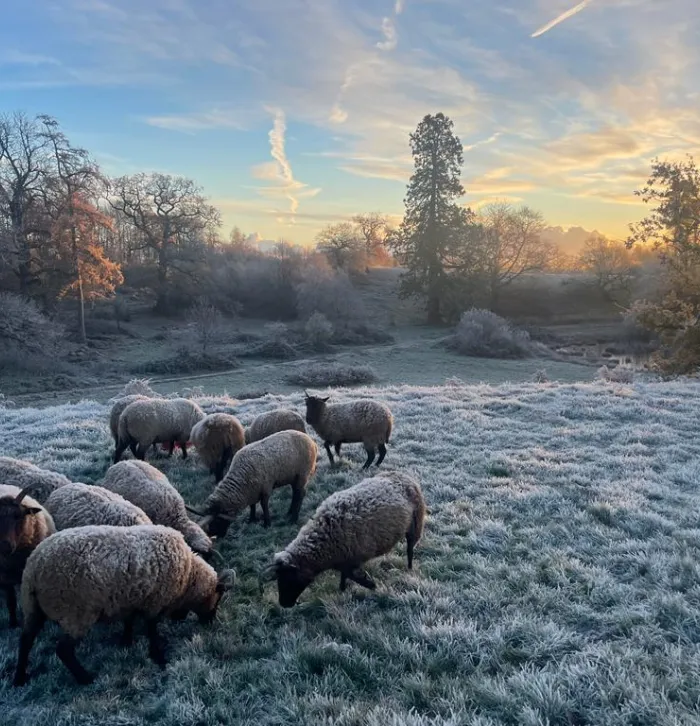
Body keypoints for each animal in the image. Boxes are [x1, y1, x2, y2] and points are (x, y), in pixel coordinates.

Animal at [13, 524, 236, 686]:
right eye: (218, 599)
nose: (210, 623)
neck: (189, 577)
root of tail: (34, 568)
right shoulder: (155, 600)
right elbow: (151, 628)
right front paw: (158, 656)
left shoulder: (130, 599)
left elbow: (129, 621)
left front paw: (126, 641)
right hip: (76, 613)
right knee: (63, 650)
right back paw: (85, 678)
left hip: (32, 607)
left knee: (25, 641)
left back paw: (19, 678)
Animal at [188, 430, 317, 538]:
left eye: (218, 520)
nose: (215, 535)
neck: (242, 478)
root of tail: (312, 442)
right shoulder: (252, 490)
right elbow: (252, 505)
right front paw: (251, 519)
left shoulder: (266, 487)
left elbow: (264, 505)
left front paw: (267, 523)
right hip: (293, 477)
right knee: (295, 493)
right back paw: (289, 512)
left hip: (302, 474)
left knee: (300, 494)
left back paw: (293, 519)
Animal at [259, 470, 425, 608]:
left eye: (290, 579)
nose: (284, 604)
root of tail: (404, 476)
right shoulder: (345, 559)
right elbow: (344, 575)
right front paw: (342, 589)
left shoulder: (353, 559)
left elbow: (354, 577)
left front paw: (372, 586)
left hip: (415, 524)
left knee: (410, 549)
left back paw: (409, 568)